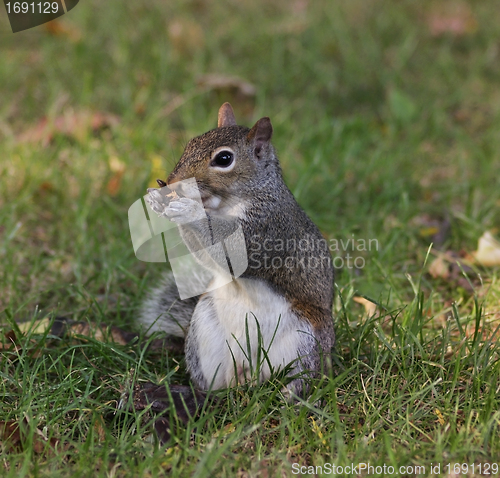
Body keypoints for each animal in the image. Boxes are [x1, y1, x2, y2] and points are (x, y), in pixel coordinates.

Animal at [139, 103, 334, 396]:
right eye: (191, 143)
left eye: (224, 159)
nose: (172, 181)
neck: (226, 205)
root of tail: (250, 372)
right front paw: (157, 200)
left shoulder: (269, 229)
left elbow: (236, 255)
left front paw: (189, 210)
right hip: (204, 331)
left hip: (305, 342)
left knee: (300, 379)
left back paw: (290, 396)